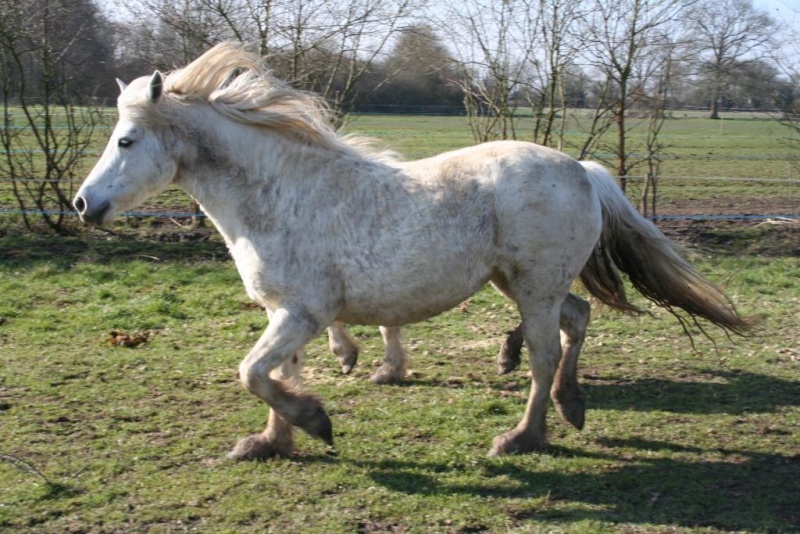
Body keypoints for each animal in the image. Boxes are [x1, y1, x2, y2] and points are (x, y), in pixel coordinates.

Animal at [75, 43, 752, 460]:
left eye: (126, 140)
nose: (84, 204)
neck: (280, 192)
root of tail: (582, 170)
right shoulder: (283, 314)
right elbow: (274, 375)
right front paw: (272, 444)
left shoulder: (303, 313)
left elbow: (255, 373)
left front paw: (315, 422)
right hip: (522, 283)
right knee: (578, 321)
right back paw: (573, 405)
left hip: (534, 288)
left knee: (544, 353)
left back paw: (522, 436)